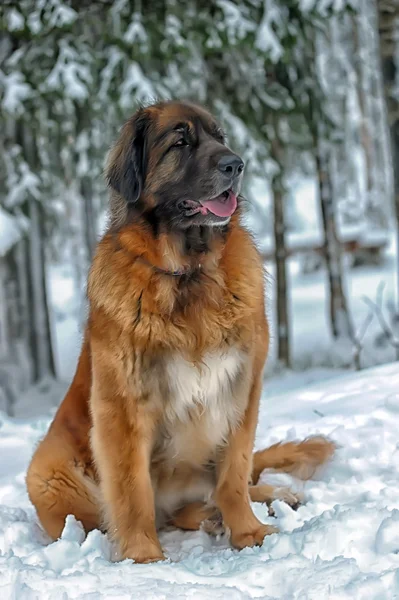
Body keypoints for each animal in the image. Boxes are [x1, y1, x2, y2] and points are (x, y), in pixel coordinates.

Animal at [26, 98, 336, 564]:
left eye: (220, 137)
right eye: (181, 143)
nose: (236, 164)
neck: (189, 273)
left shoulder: (241, 389)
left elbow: (234, 474)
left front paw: (248, 532)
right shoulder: (122, 406)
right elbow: (132, 491)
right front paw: (143, 558)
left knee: (229, 486)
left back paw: (267, 497)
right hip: (47, 472)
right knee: (158, 513)